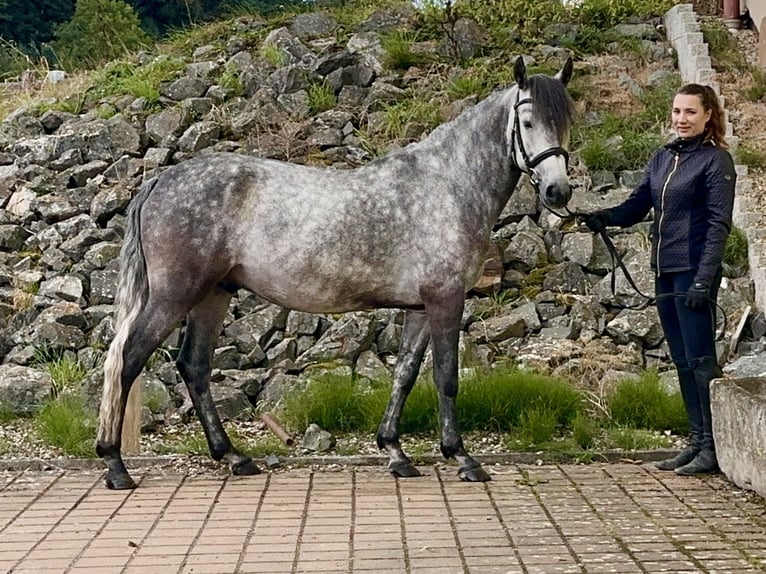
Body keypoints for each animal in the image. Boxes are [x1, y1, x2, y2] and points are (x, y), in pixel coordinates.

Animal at [97, 56, 576, 490]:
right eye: (527, 121)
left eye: (566, 122)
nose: (559, 191)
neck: (448, 186)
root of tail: (161, 181)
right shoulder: (445, 298)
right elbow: (446, 376)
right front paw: (461, 457)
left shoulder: (421, 306)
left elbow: (405, 374)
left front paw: (395, 452)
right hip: (175, 295)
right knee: (129, 358)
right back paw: (116, 465)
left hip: (214, 294)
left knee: (193, 366)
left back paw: (233, 456)